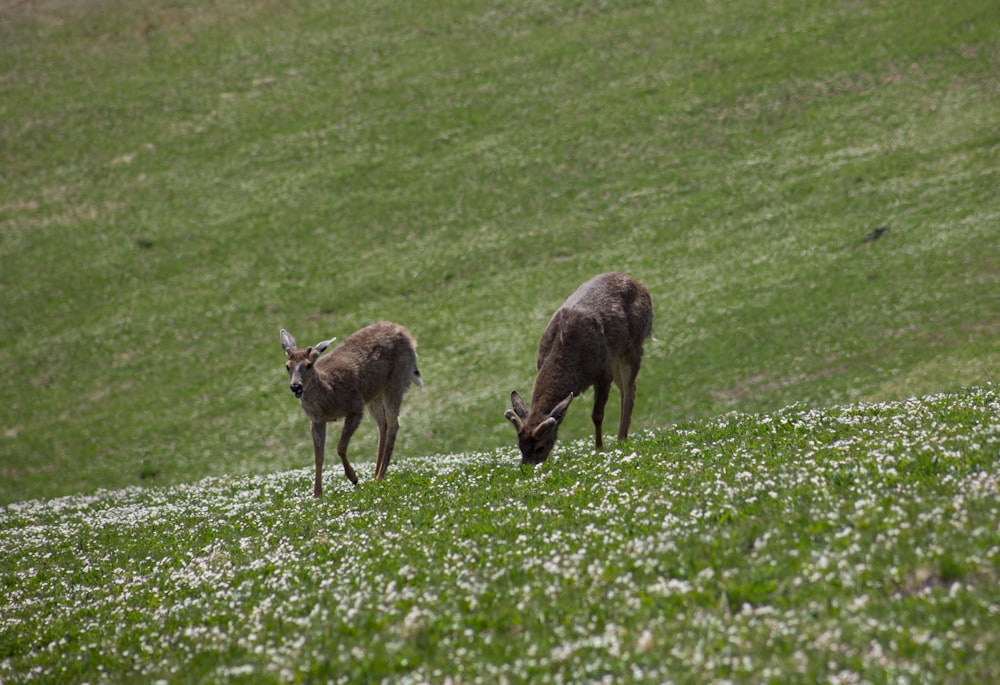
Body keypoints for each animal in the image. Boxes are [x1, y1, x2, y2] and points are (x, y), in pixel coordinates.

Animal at [280, 322, 424, 496]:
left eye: (309, 365)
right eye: (287, 366)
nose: (296, 387)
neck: (329, 392)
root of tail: (406, 333)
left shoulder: (355, 407)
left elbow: (340, 447)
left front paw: (353, 478)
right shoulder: (316, 420)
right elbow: (318, 456)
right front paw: (317, 494)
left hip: (395, 381)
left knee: (393, 424)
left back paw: (380, 476)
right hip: (373, 394)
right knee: (383, 424)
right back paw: (375, 475)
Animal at [504, 272, 652, 464]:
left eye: (540, 447)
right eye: (520, 446)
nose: (527, 467)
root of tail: (640, 285)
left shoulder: (602, 374)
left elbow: (597, 415)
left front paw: (599, 448)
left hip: (633, 345)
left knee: (629, 389)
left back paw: (621, 438)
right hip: (614, 357)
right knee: (628, 388)